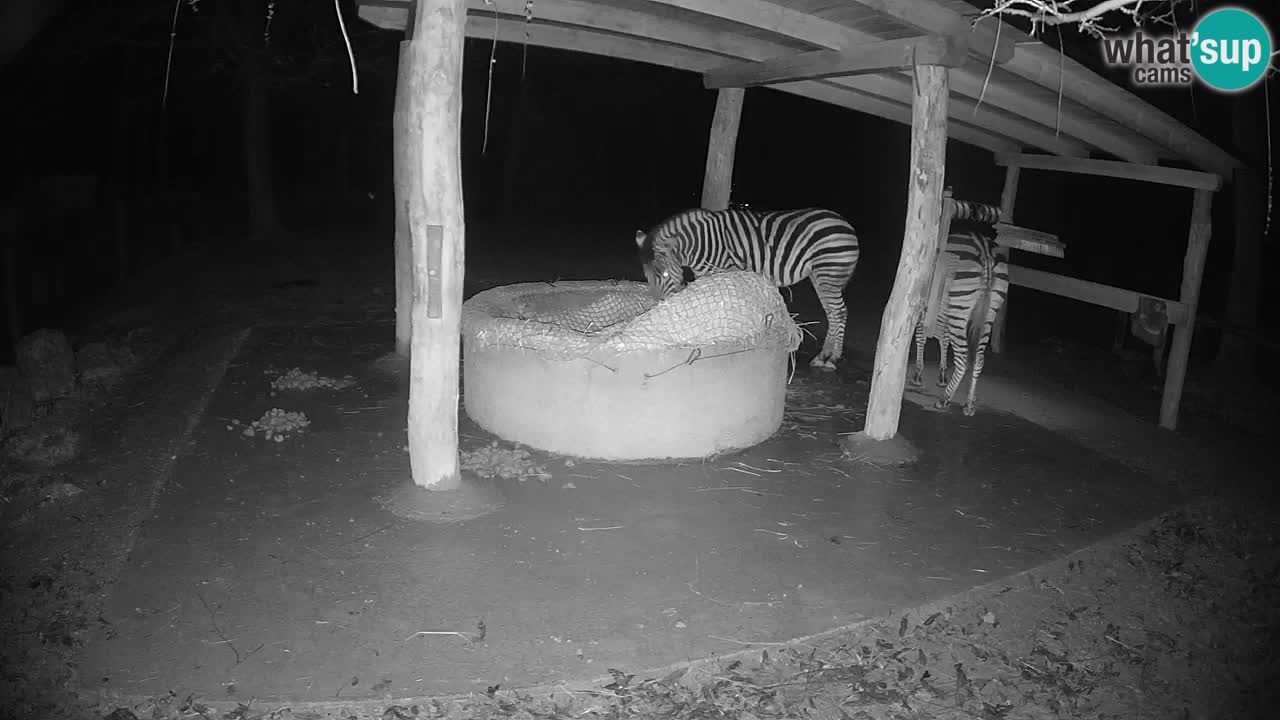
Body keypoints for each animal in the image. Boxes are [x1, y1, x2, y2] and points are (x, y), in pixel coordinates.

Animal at [635, 206, 861, 370]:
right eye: (647, 277)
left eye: (665, 276)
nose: (657, 307)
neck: (700, 243)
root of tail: (843, 222)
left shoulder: (724, 270)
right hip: (819, 276)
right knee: (832, 312)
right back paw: (823, 356)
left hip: (828, 273)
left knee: (839, 312)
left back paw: (832, 359)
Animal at [911, 200, 1009, 416]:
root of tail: (986, 253)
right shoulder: (944, 311)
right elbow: (944, 339)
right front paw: (941, 375)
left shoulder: (926, 307)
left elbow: (922, 337)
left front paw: (919, 374)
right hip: (986, 314)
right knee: (979, 359)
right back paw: (969, 404)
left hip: (960, 310)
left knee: (964, 358)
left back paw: (944, 400)